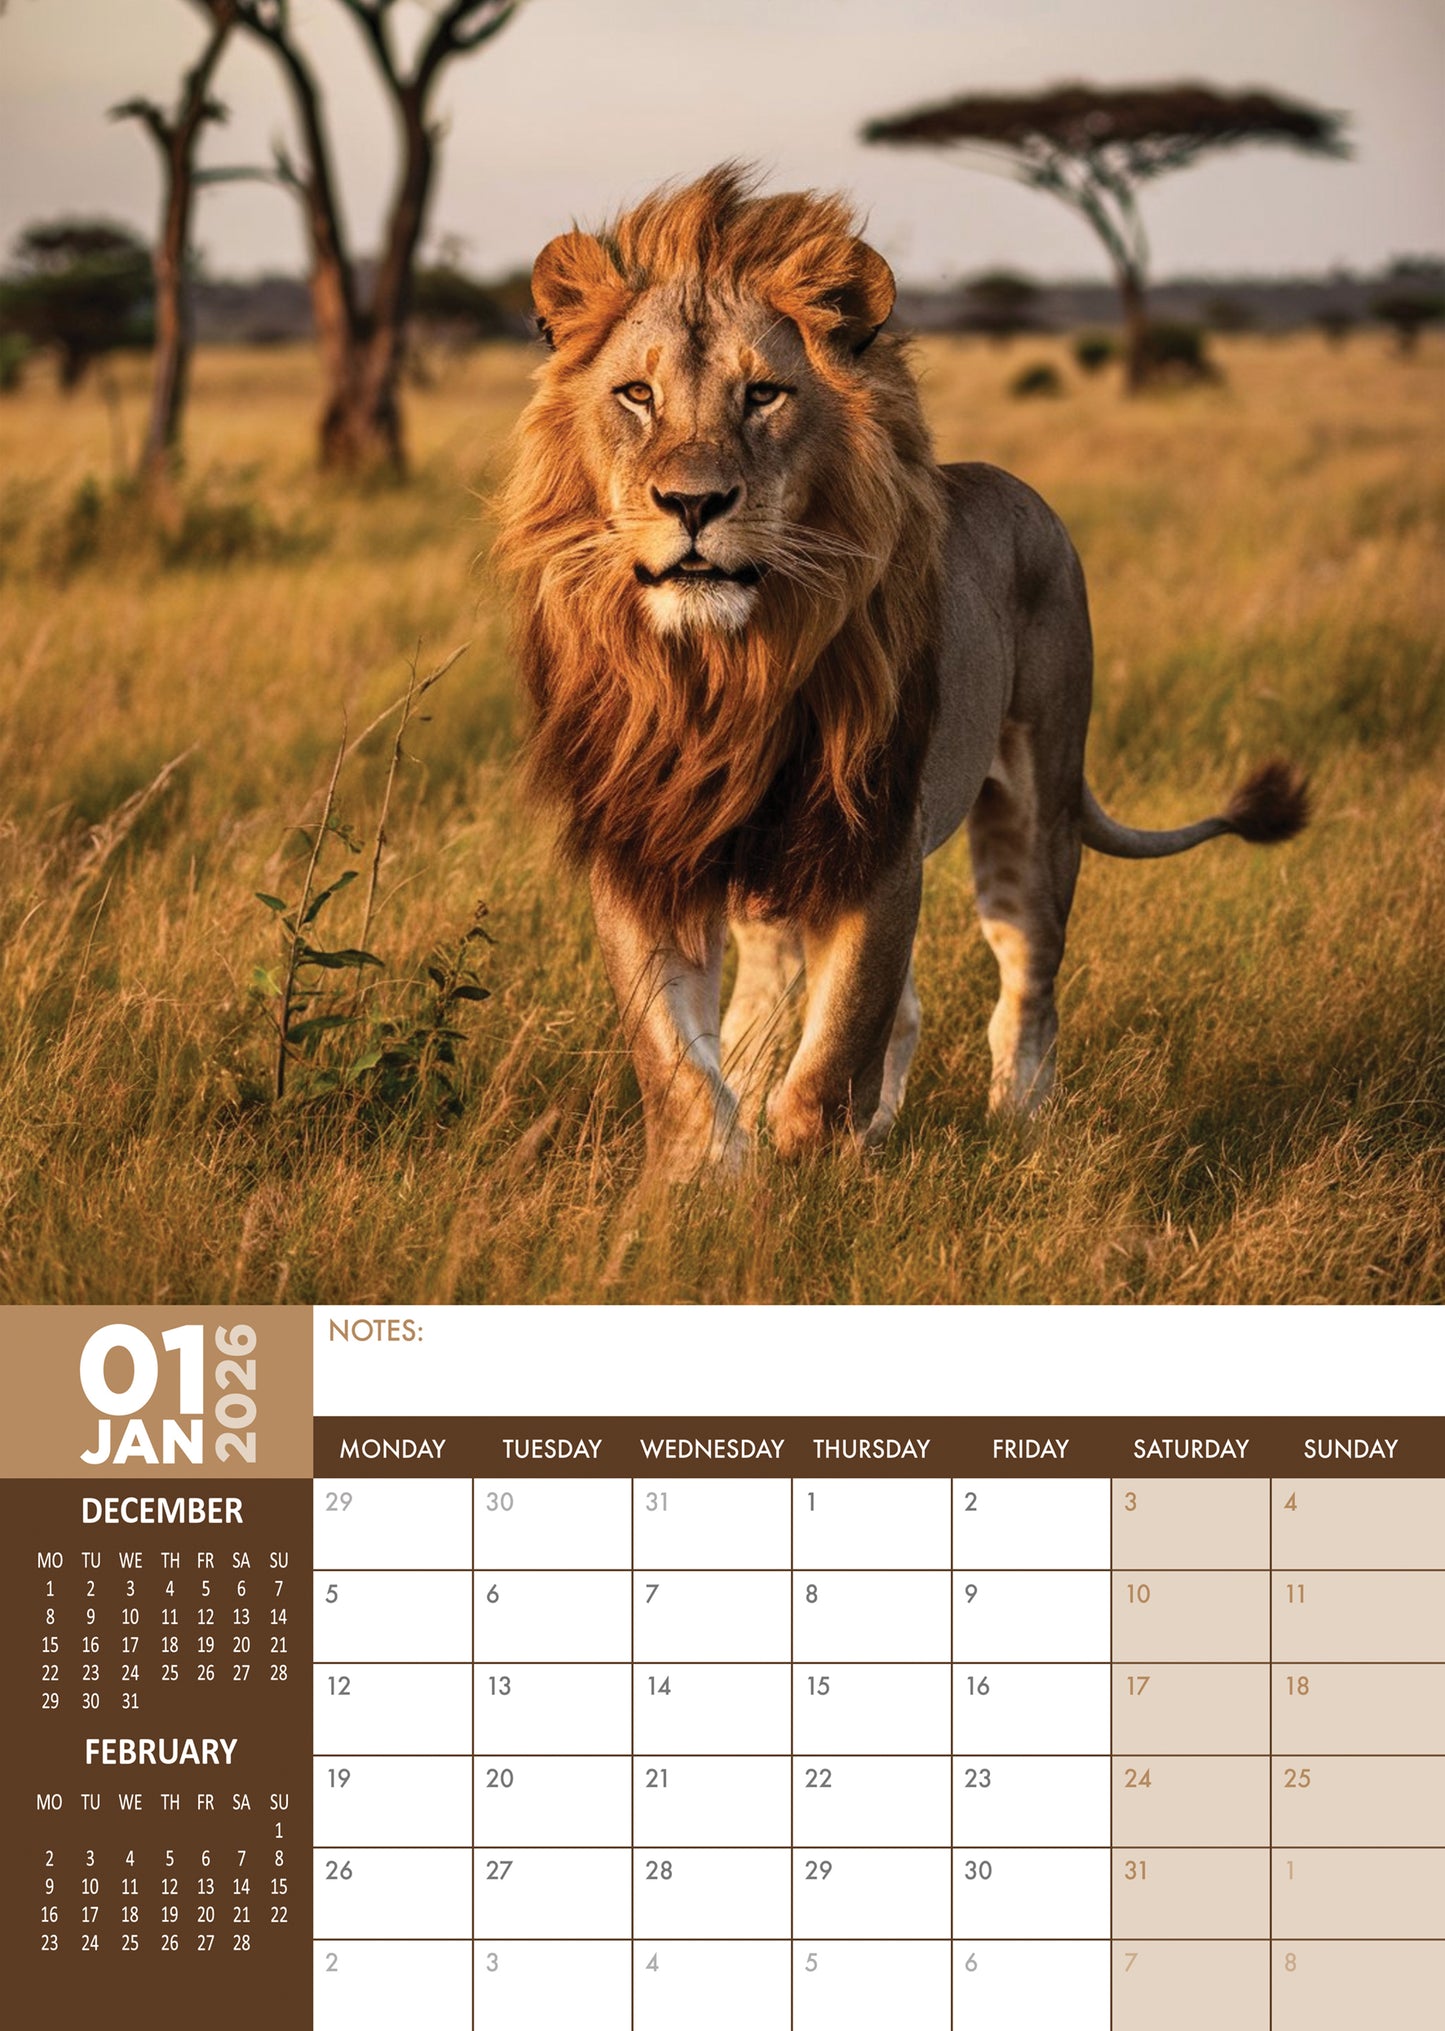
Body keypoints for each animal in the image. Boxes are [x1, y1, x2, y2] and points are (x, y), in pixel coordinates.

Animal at [496, 166, 1308, 1181]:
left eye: (763, 395)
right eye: (635, 394)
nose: (691, 502)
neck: (728, 670)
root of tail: (1024, 493)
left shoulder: (873, 839)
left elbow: (839, 1043)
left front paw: (815, 1179)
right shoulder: (649, 843)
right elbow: (676, 1058)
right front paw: (701, 1184)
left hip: (1034, 810)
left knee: (1026, 983)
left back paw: (1018, 1128)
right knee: (799, 1000)